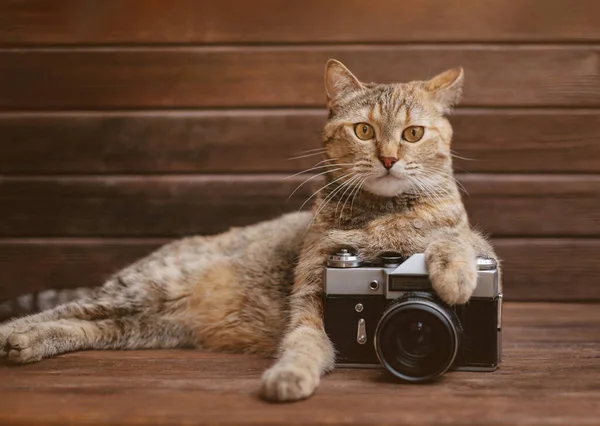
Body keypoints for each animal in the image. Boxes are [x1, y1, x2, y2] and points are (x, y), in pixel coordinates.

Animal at [0, 60, 496, 402]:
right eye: (363, 130)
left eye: (413, 134)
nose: (390, 158)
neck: (382, 213)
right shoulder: (313, 294)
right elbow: (304, 344)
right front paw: (290, 375)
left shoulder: (469, 237)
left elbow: (457, 238)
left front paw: (455, 277)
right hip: (144, 288)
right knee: (64, 309)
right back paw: (15, 335)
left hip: (144, 326)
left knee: (85, 325)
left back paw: (29, 343)